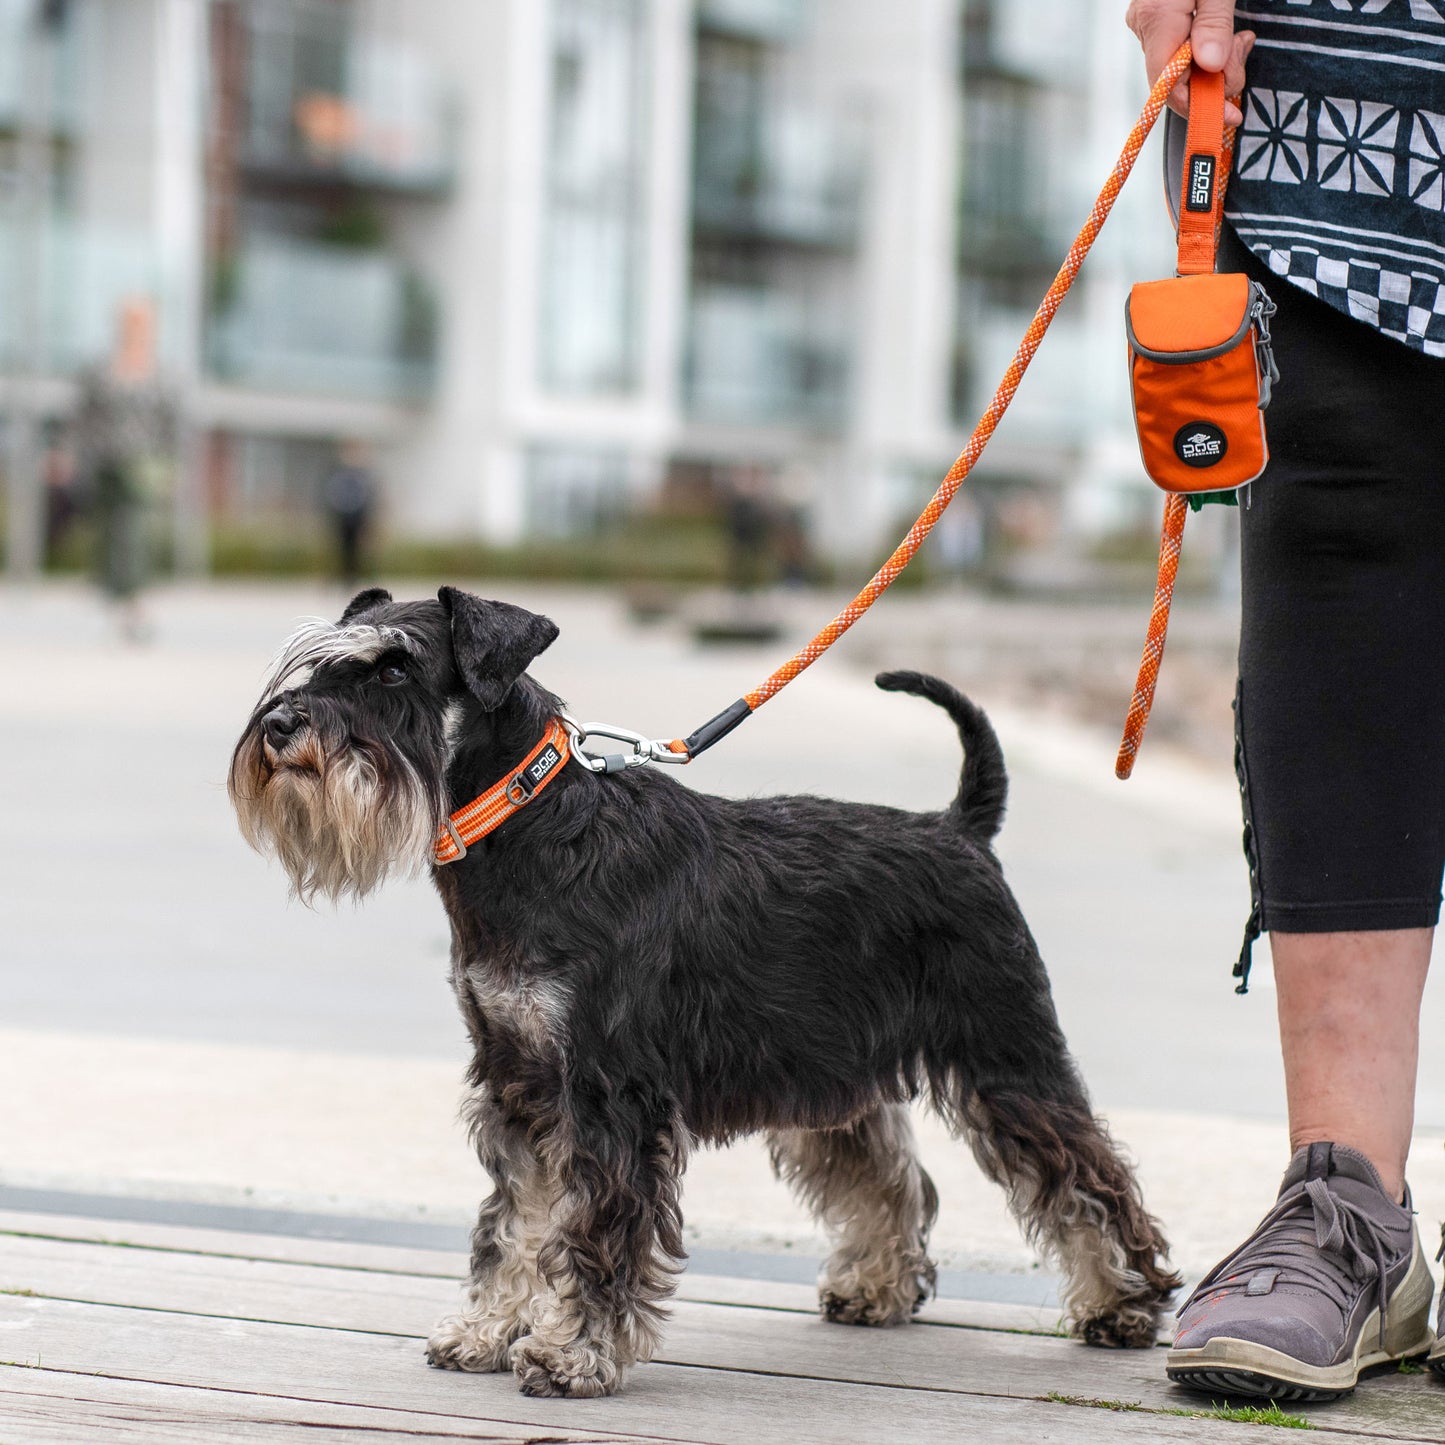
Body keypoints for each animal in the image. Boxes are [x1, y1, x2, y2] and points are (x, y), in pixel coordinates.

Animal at [231, 586, 1179, 1398]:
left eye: (395, 669)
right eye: (316, 663)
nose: (278, 724)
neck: (532, 829)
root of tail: (961, 828)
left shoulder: (605, 1094)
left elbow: (587, 1232)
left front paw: (572, 1354)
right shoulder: (519, 1083)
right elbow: (513, 1223)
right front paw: (485, 1331)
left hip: (1003, 1057)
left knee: (1086, 1176)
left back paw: (1122, 1302)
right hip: (832, 1075)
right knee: (885, 1174)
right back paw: (877, 1286)